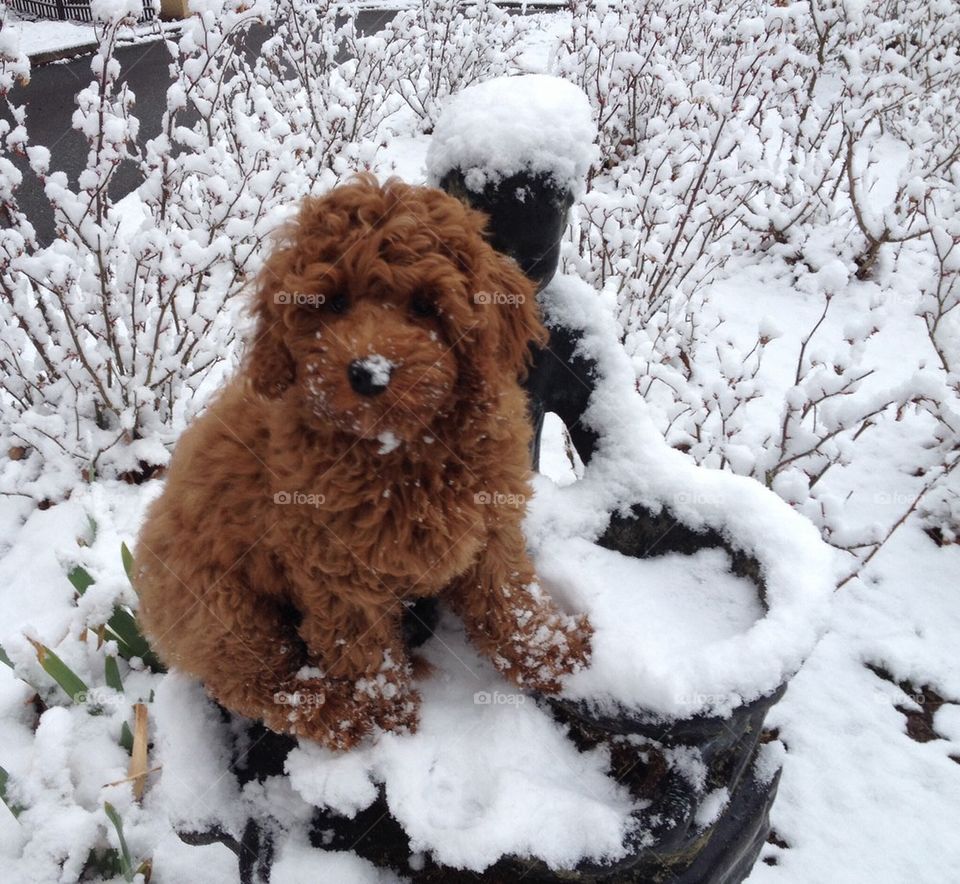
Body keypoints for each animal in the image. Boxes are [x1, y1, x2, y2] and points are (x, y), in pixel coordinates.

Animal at [131, 174, 588, 752]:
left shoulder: (490, 528)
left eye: (426, 306)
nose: (369, 373)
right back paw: (337, 716)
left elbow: (509, 598)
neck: (404, 449)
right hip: (222, 610)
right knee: (264, 684)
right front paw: (391, 727)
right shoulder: (339, 575)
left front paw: (556, 656)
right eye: (334, 302)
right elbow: (367, 655)